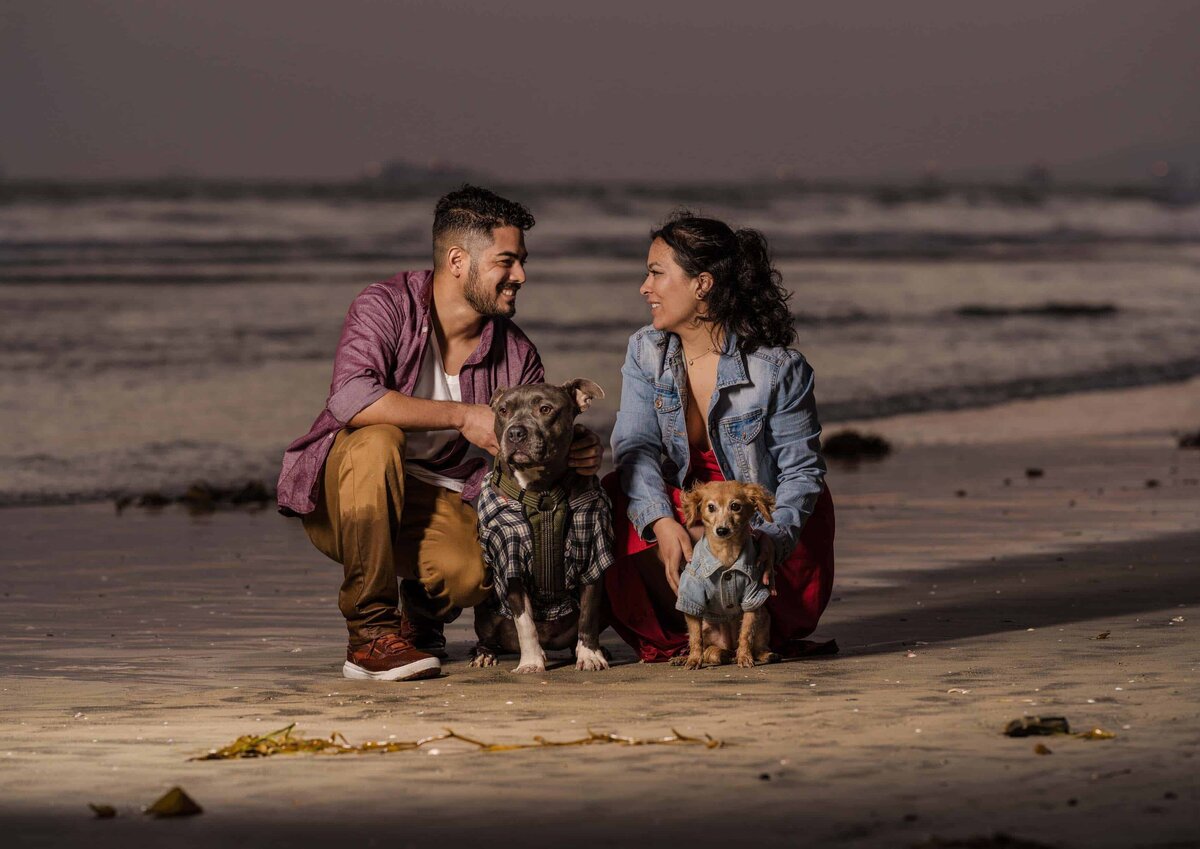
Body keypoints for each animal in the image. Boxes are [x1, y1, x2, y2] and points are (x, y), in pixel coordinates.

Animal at [672, 482, 782, 666]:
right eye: (711, 507)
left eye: (735, 506)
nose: (722, 530)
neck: (726, 551)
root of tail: (728, 646)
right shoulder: (691, 596)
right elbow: (695, 638)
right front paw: (694, 659)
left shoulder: (753, 597)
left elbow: (746, 634)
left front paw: (744, 656)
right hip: (707, 628)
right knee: (707, 649)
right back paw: (685, 658)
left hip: (764, 618)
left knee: (756, 646)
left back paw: (764, 654)